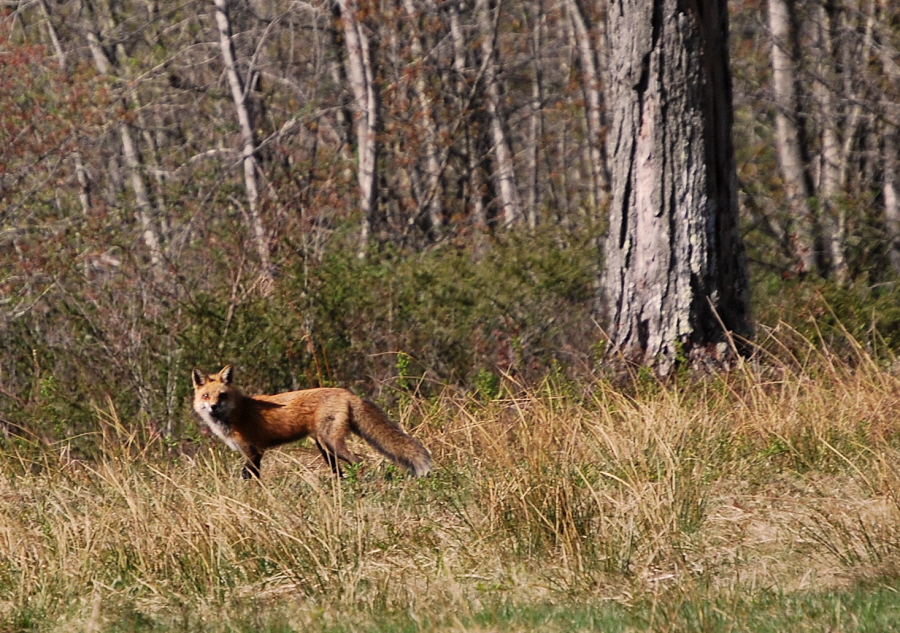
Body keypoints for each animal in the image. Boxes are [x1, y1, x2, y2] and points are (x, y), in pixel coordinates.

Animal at [191, 365, 432, 479]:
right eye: (206, 396)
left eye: (222, 395)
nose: (213, 407)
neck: (237, 413)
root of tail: (348, 393)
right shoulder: (252, 453)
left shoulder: (254, 451)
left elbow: (250, 477)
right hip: (324, 447)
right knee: (339, 471)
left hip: (331, 443)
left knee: (359, 461)